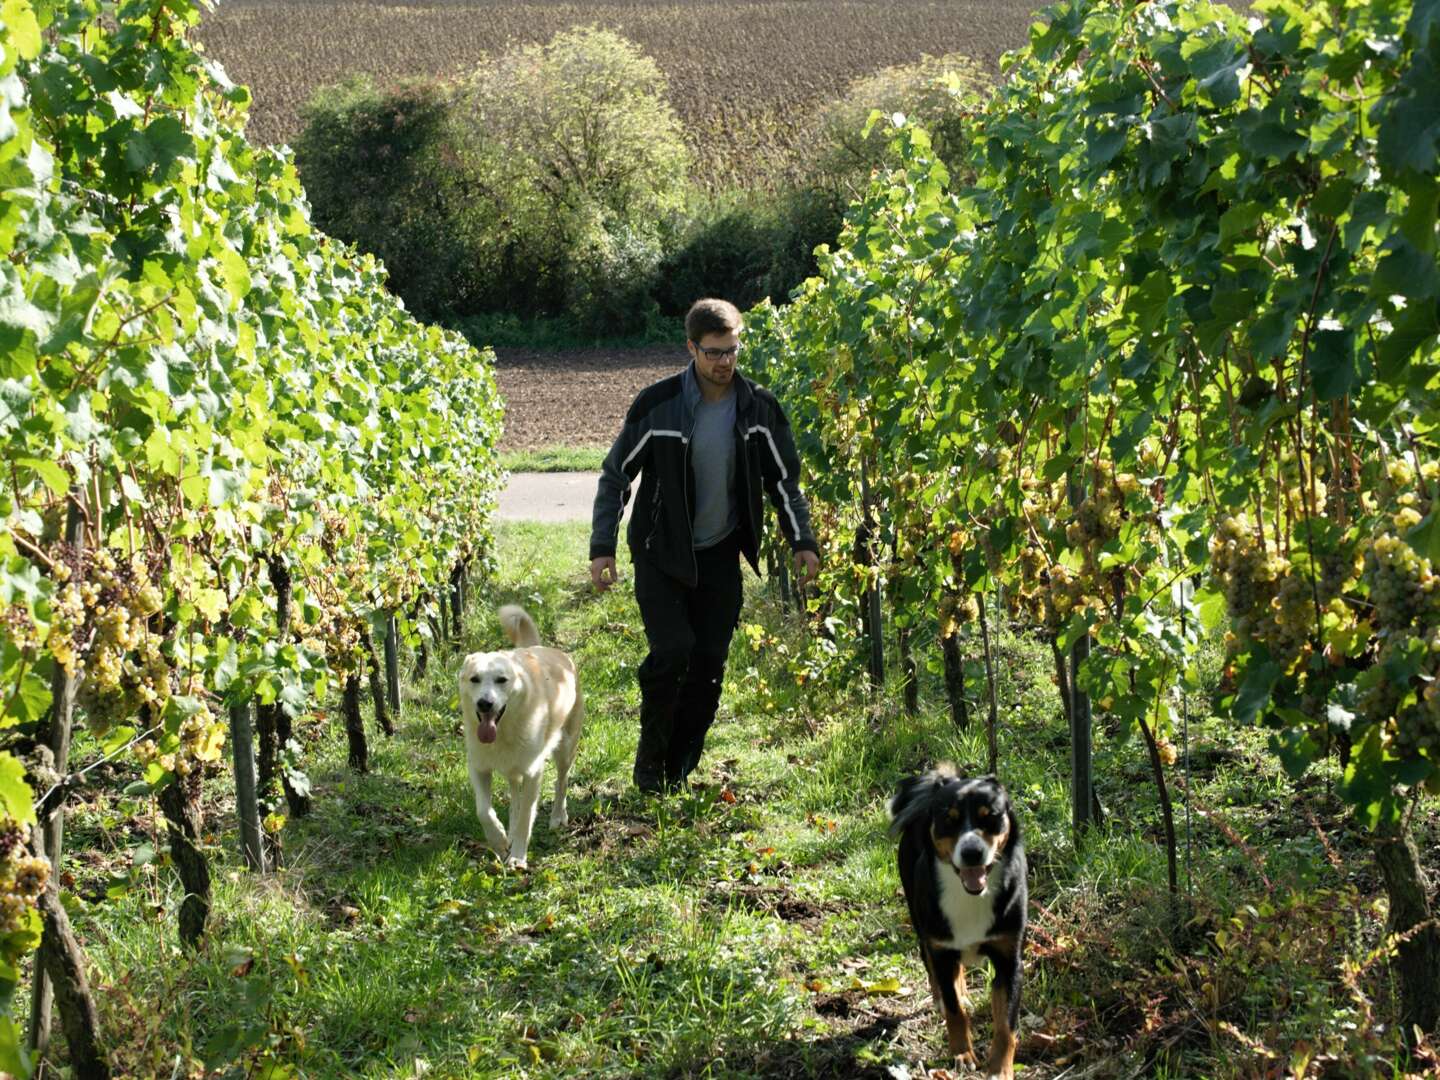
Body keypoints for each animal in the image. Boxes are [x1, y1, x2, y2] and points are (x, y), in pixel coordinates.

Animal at [455, 610, 578, 869]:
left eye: (501, 680)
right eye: (474, 679)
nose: (485, 703)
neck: (503, 732)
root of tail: (545, 649)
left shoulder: (533, 772)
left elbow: (526, 817)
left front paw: (518, 857)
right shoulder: (479, 768)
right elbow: (484, 811)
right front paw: (500, 841)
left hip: (566, 746)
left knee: (561, 781)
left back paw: (557, 817)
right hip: (514, 768)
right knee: (514, 794)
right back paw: (509, 833)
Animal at [887, 766, 1025, 1077]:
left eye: (990, 816)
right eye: (948, 820)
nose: (972, 852)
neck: (970, 896)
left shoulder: (1008, 959)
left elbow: (1006, 1026)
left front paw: (1000, 1069)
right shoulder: (941, 948)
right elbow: (954, 1011)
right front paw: (962, 1053)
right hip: (922, 923)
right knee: (932, 965)